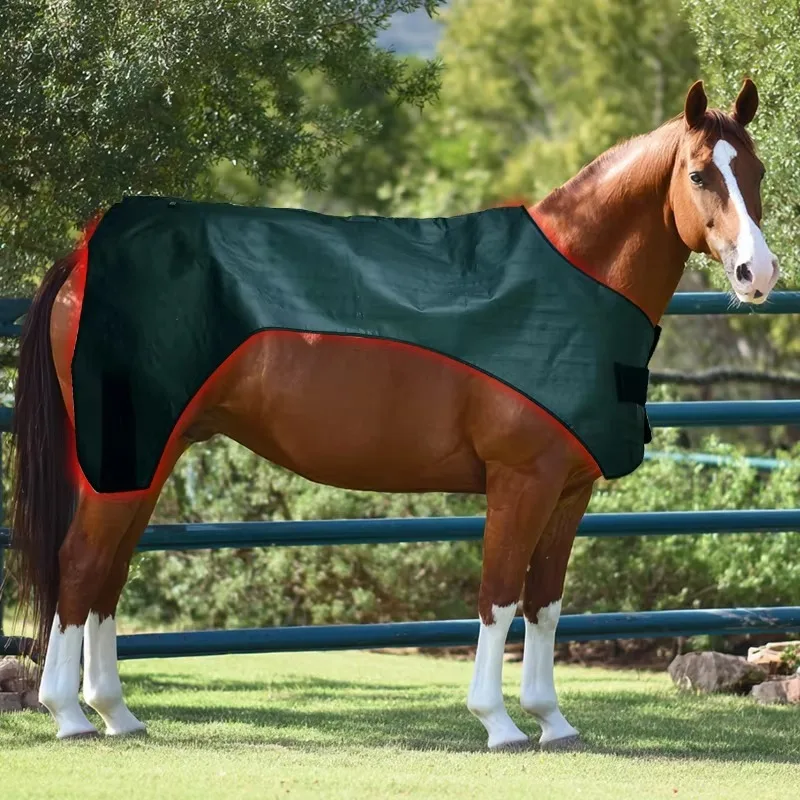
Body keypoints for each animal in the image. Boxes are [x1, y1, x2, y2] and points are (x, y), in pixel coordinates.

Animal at [10, 78, 779, 747]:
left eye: (759, 170)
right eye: (701, 175)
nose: (758, 274)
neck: (571, 285)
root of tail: (83, 257)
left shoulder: (568, 490)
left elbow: (546, 602)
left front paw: (552, 722)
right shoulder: (520, 480)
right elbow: (500, 595)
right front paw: (499, 724)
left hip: (147, 458)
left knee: (108, 575)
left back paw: (116, 714)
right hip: (124, 458)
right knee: (81, 562)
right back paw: (70, 716)